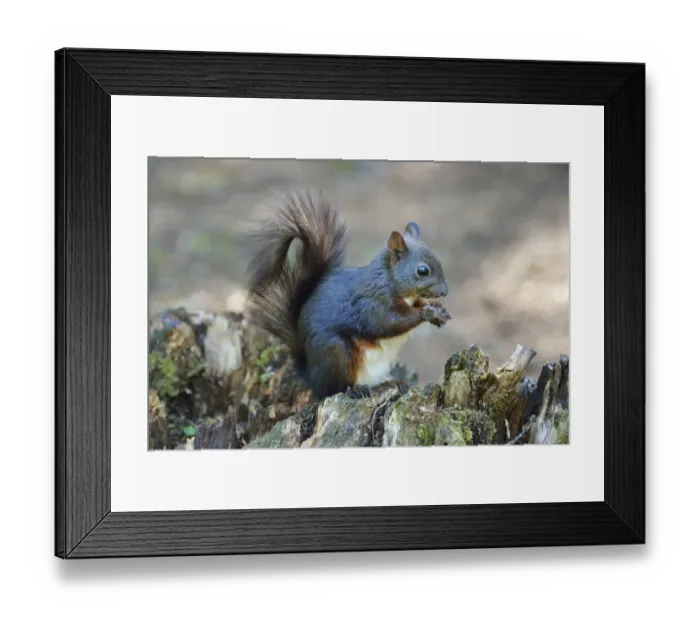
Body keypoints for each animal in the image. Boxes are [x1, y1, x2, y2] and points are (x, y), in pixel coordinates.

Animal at [243, 191, 451, 400]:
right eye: (422, 271)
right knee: (333, 389)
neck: (389, 280)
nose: (445, 291)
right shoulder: (372, 303)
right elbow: (390, 322)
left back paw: (391, 383)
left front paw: (438, 310)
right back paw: (355, 389)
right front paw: (428, 313)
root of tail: (310, 375)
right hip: (336, 352)